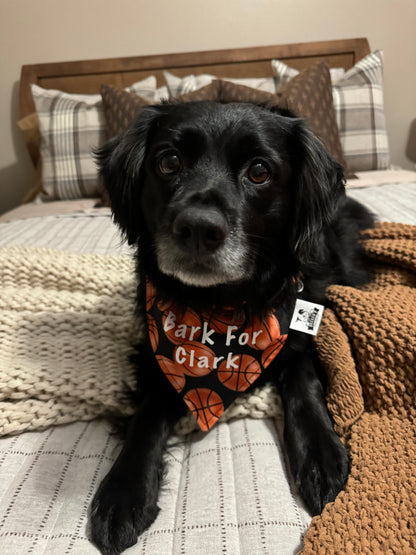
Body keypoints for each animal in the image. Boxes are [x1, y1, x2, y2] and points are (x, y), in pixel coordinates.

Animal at [88, 102, 374, 552]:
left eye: (259, 171)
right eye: (169, 162)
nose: (199, 229)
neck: (219, 311)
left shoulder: (299, 328)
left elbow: (304, 384)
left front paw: (321, 454)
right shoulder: (152, 357)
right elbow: (146, 417)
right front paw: (123, 492)